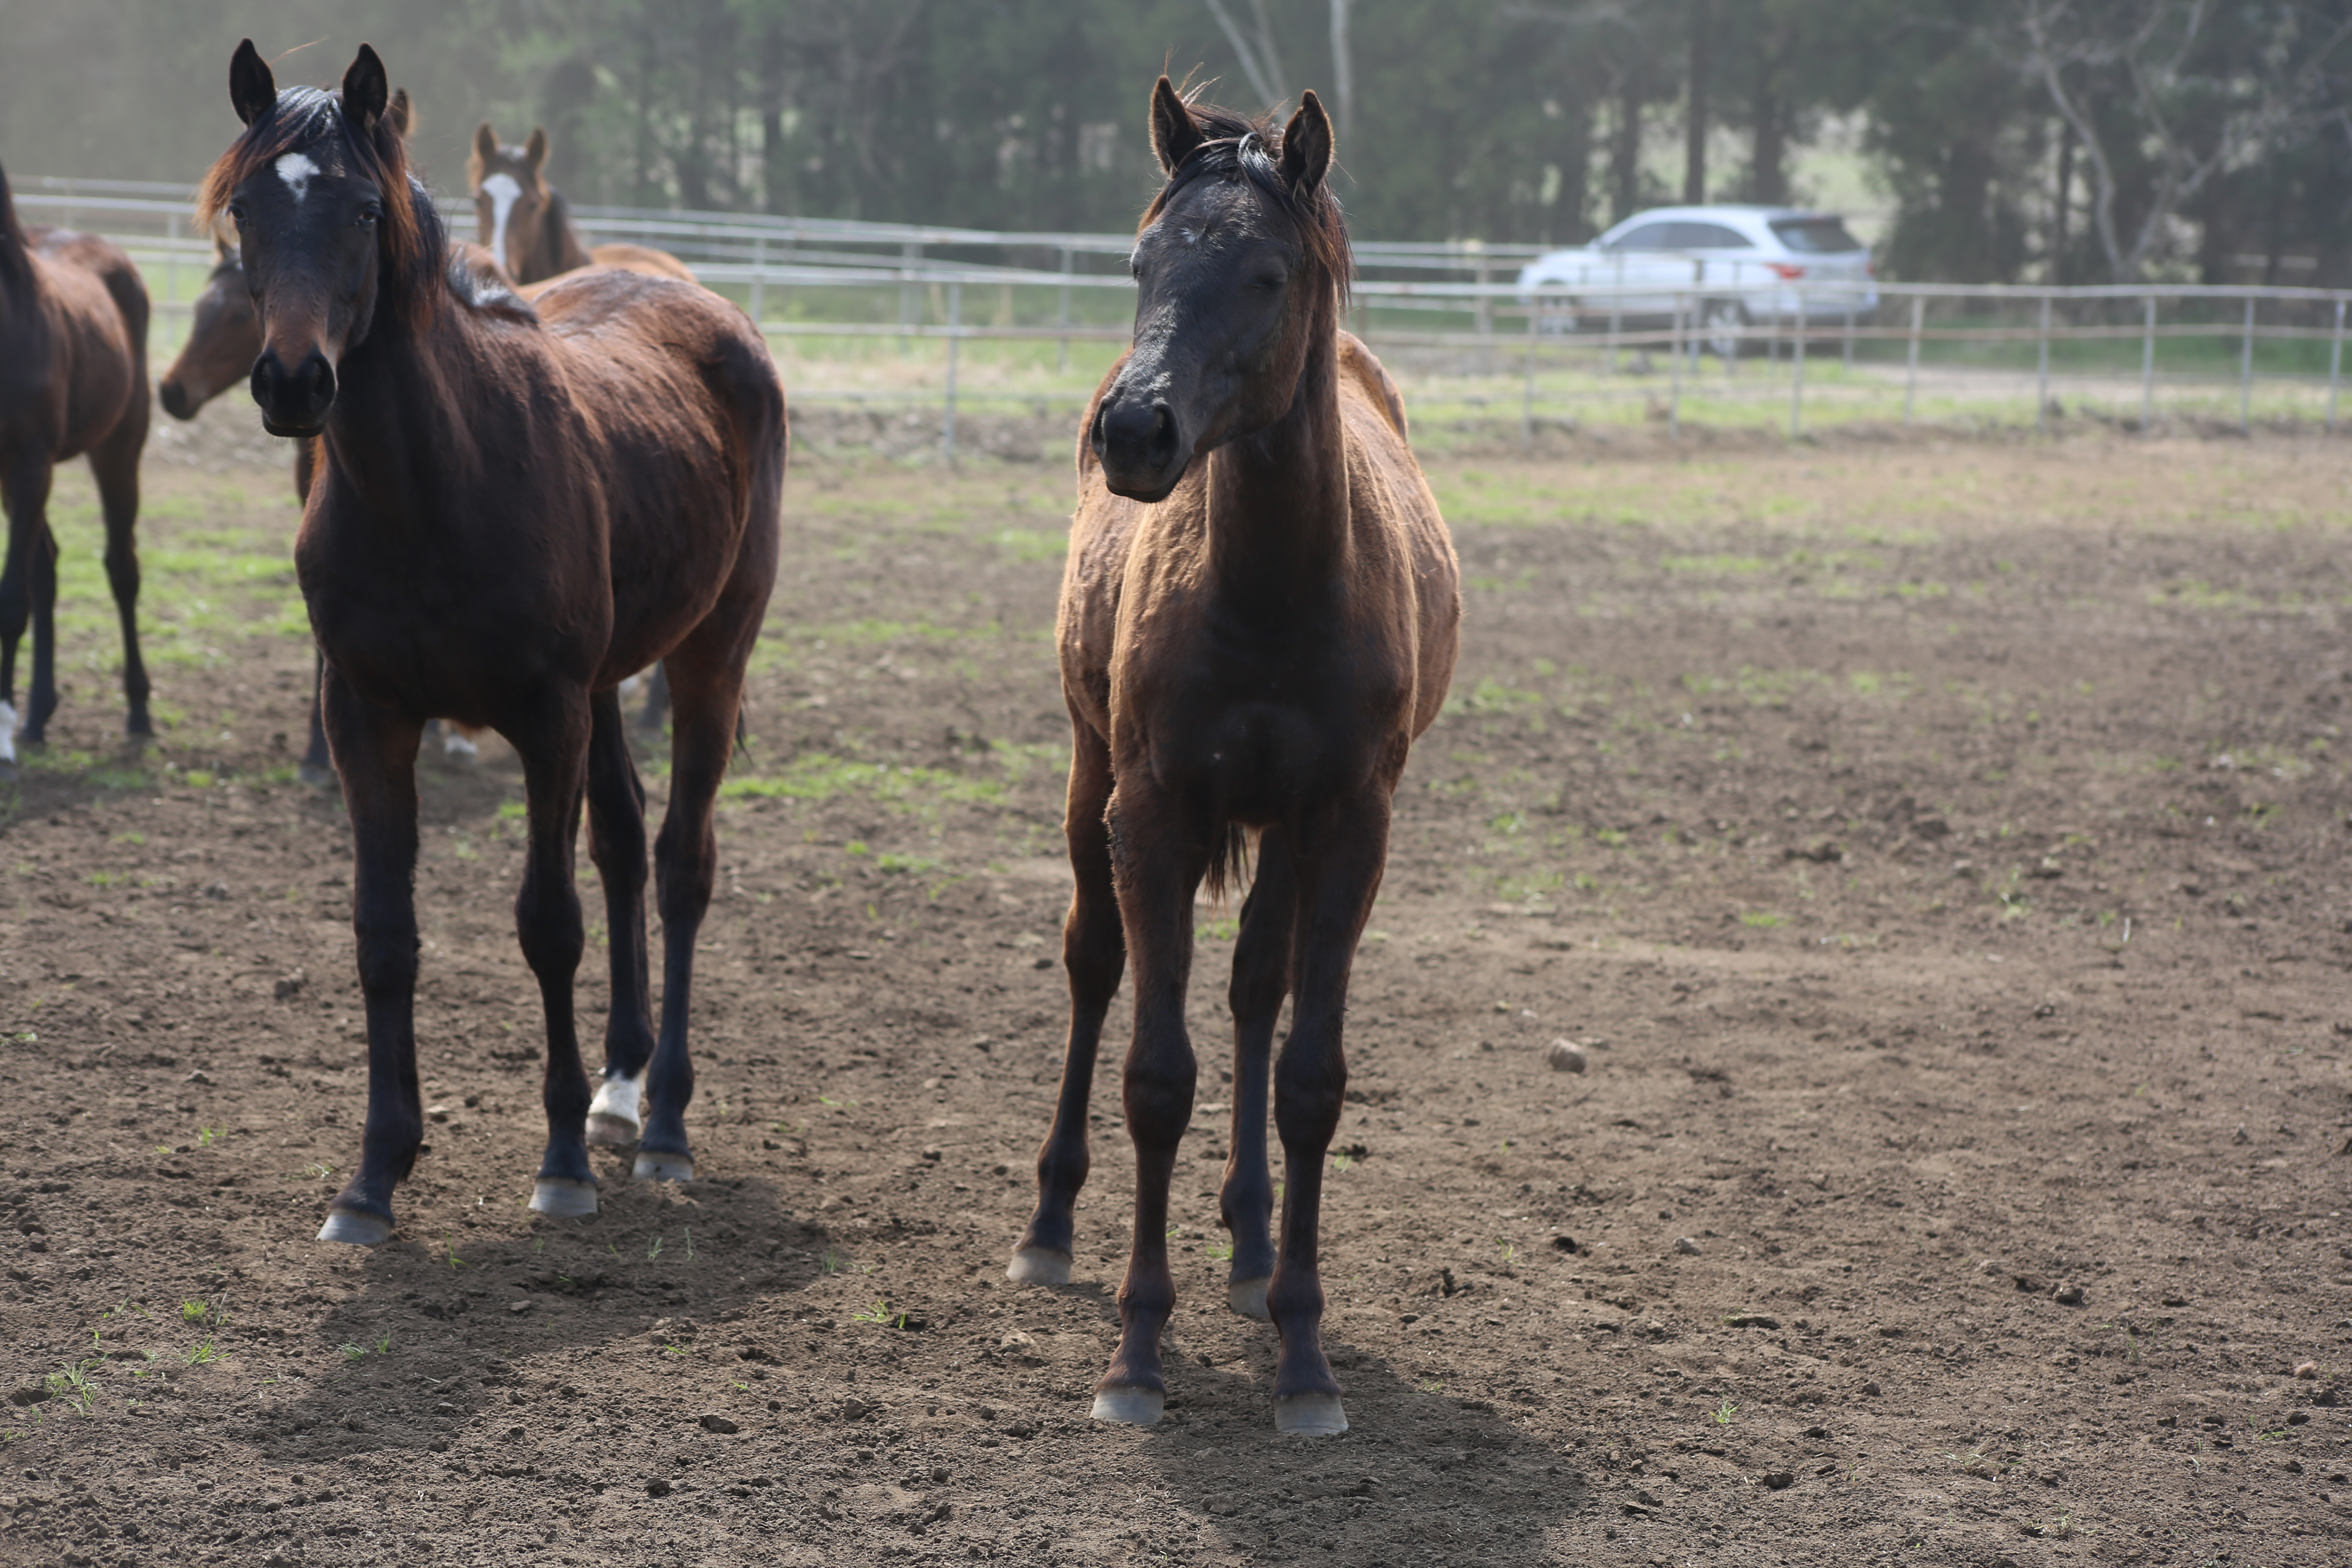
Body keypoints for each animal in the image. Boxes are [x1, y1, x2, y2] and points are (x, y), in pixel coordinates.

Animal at [1007, 80, 1458, 1439]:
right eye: (1143, 262)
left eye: (1264, 274)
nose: (1134, 430)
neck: (1269, 591)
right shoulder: (1151, 811)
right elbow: (1157, 1074)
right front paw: (1135, 1355)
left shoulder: (1349, 824)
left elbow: (1309, 1075)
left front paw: (1304, 1357)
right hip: (1088, 780)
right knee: (1094, 963)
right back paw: (1050, 1225)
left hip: (1287, 835)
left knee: (1260, 989)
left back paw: (1256, 1246)